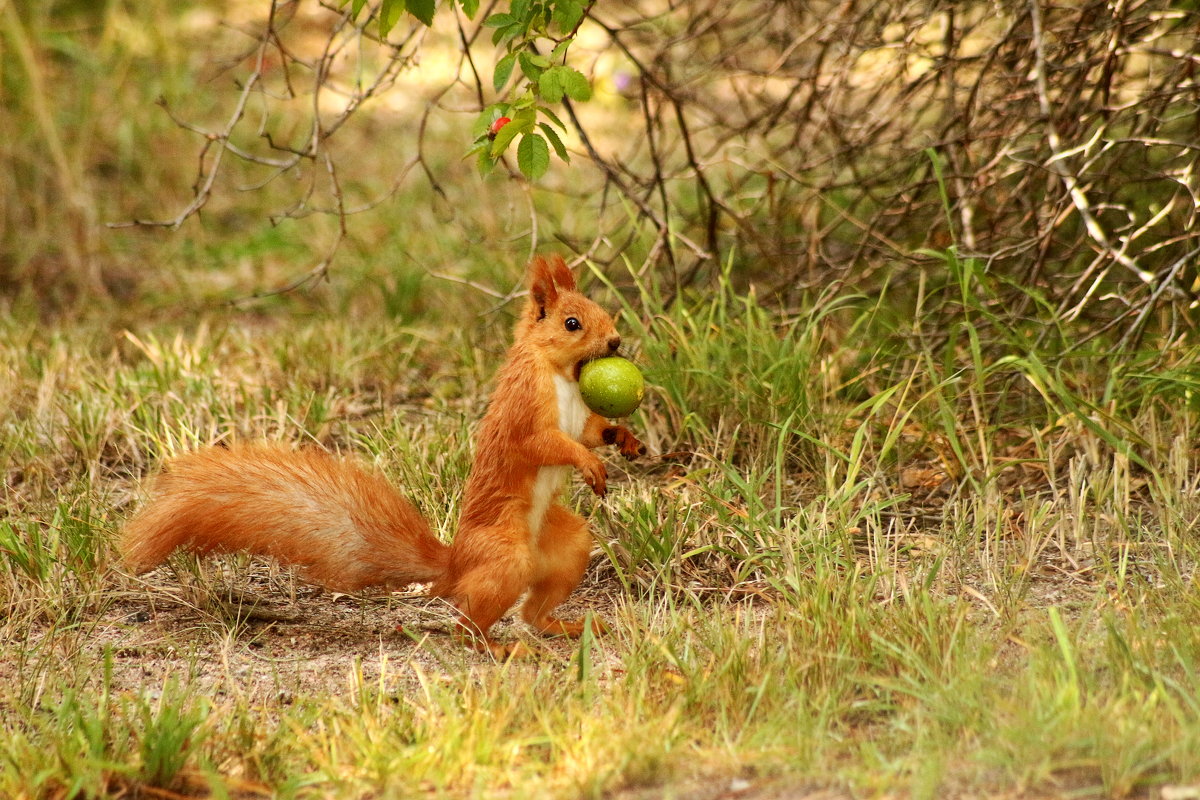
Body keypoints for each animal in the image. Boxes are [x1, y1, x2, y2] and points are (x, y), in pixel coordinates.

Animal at [119, 256, 648, 657]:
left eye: (599, 309)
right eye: (572, 323)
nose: (616, 342)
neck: (559, 374)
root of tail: (455, 565)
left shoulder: (579, 416)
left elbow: (590, 430)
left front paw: (625, 440)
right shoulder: (523, 412)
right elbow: (547, 443)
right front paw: (589, 464)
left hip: (567, 546)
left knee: (531, 612)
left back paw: (567, 627)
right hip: (505, 558)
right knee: (467, 625)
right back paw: (496, 647)